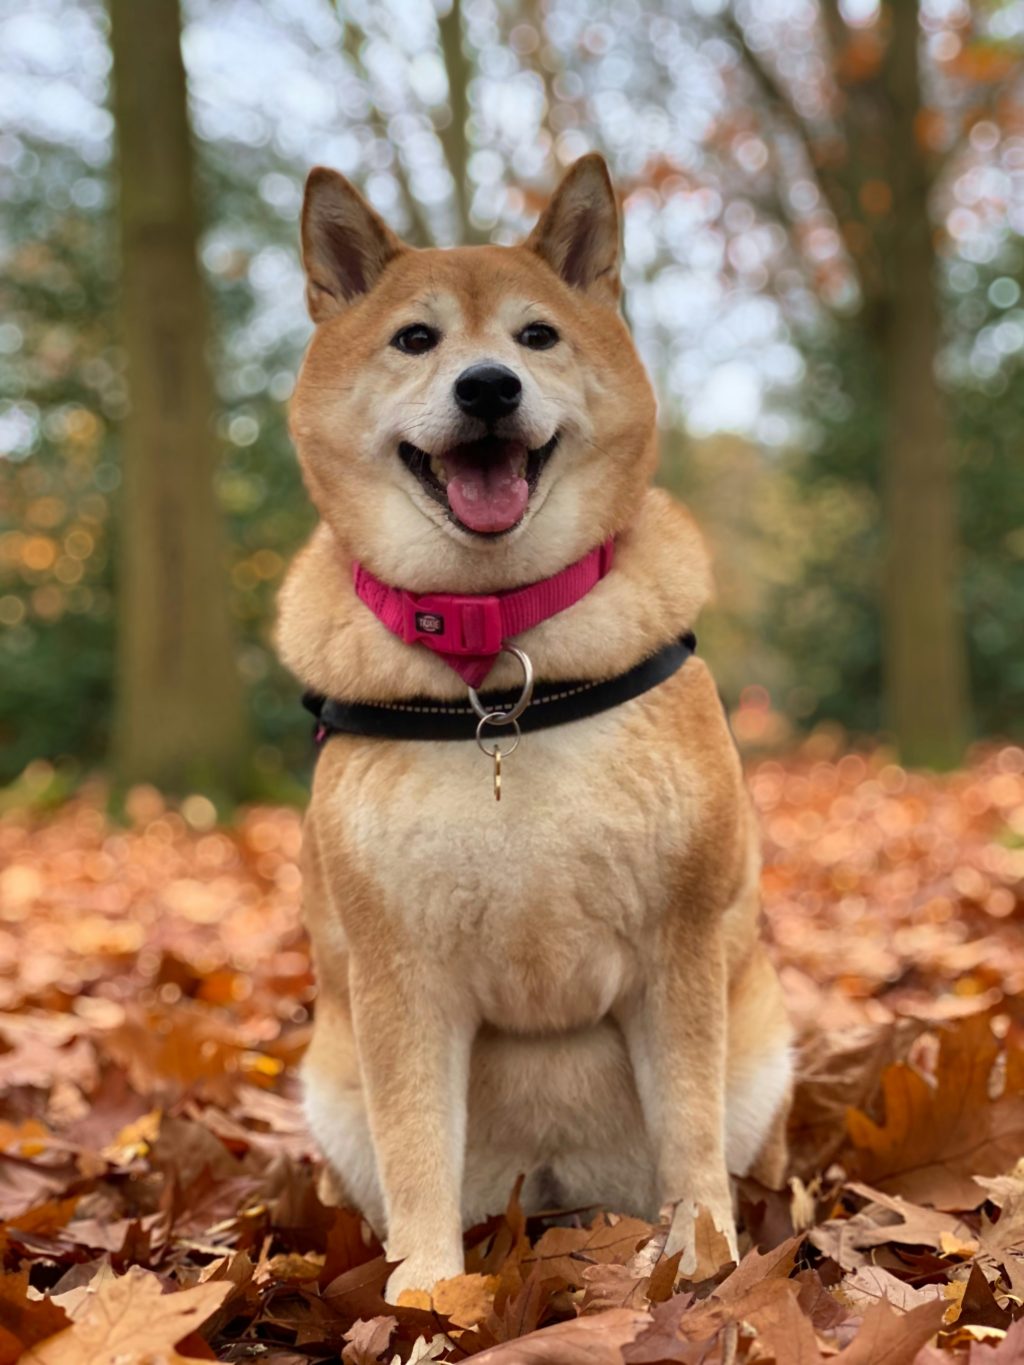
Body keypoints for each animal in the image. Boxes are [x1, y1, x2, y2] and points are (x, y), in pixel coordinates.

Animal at [278, 152, 791, 1299]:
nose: (487, 387)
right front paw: (425, 1294)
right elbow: (417, 1145)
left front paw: (702, 1261)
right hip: (332, 1086)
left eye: (536, 336)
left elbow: (688, 1128)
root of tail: (555, 1197)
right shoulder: (398, 972)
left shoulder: (680, 942)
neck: (499, 661)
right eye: (415, 339)